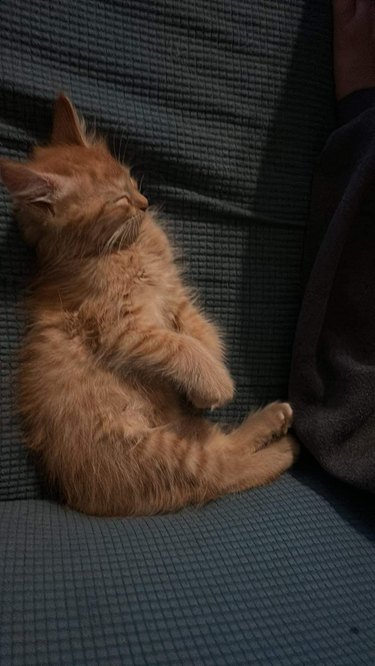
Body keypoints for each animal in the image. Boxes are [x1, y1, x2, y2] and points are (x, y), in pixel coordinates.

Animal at [0, 94, 300, 512]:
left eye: (129, 178)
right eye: (119, 200)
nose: (145, 202)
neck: (122, 249)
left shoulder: (177, 297)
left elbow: (203, 334)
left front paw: (208, 382)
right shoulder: (122, 328)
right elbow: (179, 345)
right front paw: (216, 384)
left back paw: (275, 420)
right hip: (160, 452)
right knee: (222, 469)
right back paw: (284, 442)